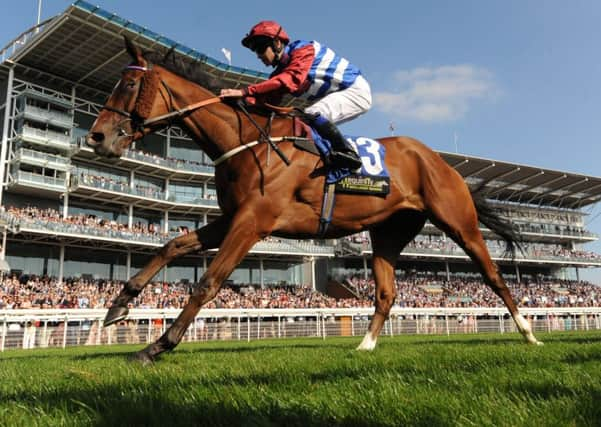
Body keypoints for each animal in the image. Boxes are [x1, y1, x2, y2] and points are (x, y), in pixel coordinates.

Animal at [84, 37, 540, 364]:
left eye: (128, 84)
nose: (96, 136)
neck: (245, 141)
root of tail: (439, 160)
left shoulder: (252, 222)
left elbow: (208, 282)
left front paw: (157, 346)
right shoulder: (232, 218)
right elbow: (171, 245)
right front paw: (118, 306)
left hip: (457, 222)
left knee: (494, 277)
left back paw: (529, 333)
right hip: (388, 233)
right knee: (386, 293)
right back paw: (365, 346)